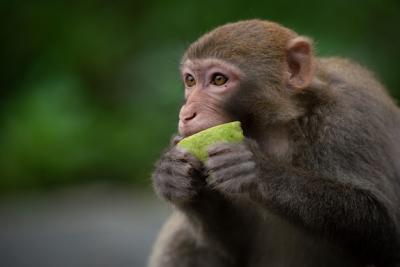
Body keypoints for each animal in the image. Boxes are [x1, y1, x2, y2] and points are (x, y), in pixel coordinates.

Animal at [148, 19, 400, 267]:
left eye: (218, 80)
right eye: (190, 80)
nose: (186, 114)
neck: (278, 127)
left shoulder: (352, 117)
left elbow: (385, 230)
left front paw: (258, 170)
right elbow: (236, 248)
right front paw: (171, 174)